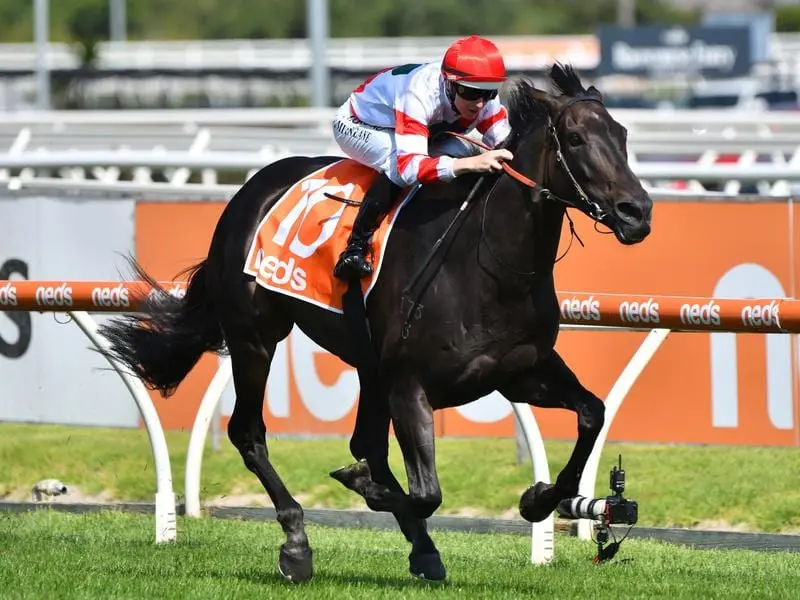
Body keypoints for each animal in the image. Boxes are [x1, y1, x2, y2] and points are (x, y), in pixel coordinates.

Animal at [97, 64, 652, 580]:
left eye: (623, 135)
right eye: (575, 138)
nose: (638, 212)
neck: (490, 262)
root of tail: (247, 193)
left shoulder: (519, 372)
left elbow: (592, 413)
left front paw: (538, 498)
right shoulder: (409, 383)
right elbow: (424, 492)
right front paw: (362, 487)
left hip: (367, 365)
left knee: (365, 443)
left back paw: (420, 548)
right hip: (256, 337)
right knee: (249, 433)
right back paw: (297, 542)